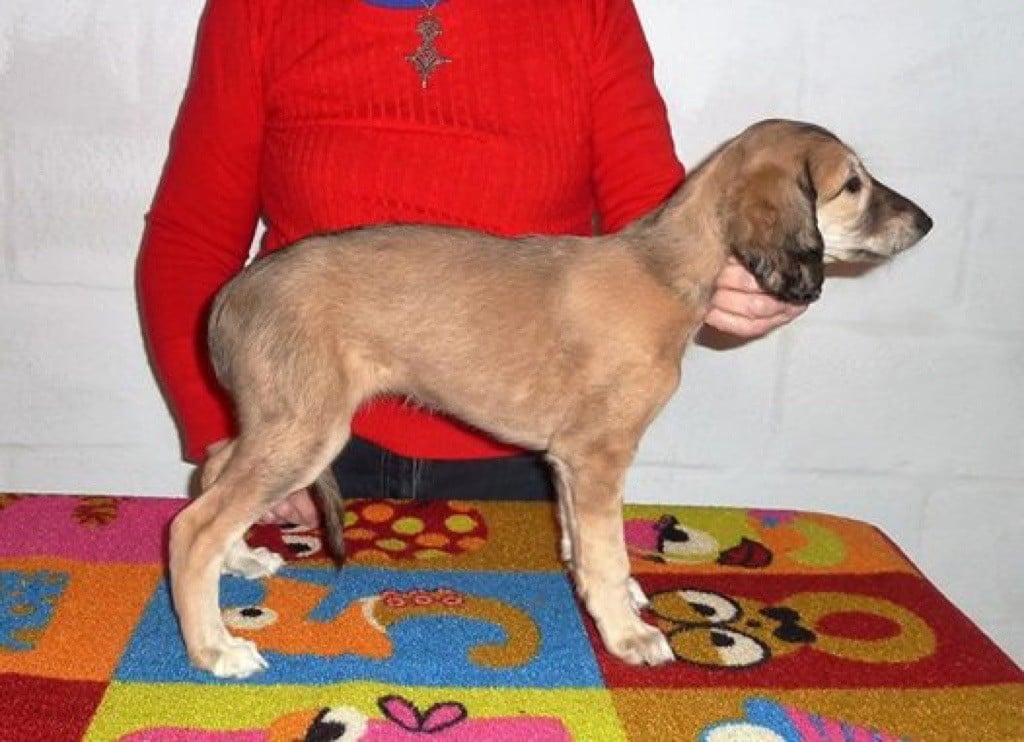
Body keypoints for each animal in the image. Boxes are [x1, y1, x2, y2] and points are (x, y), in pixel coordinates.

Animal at [168, 119, 932, 677]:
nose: (924, 222)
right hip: (305, 429)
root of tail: (236, 293)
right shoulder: (600, 454)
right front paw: (628, 633)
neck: (663, 270)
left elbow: (580, 537)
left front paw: (603, 592)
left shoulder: (570, 458)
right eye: (854, 184)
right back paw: (214, 648)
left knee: (214, 466)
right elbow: (607, 549)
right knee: (192, 526)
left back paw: (239, 560)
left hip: (280, 420)